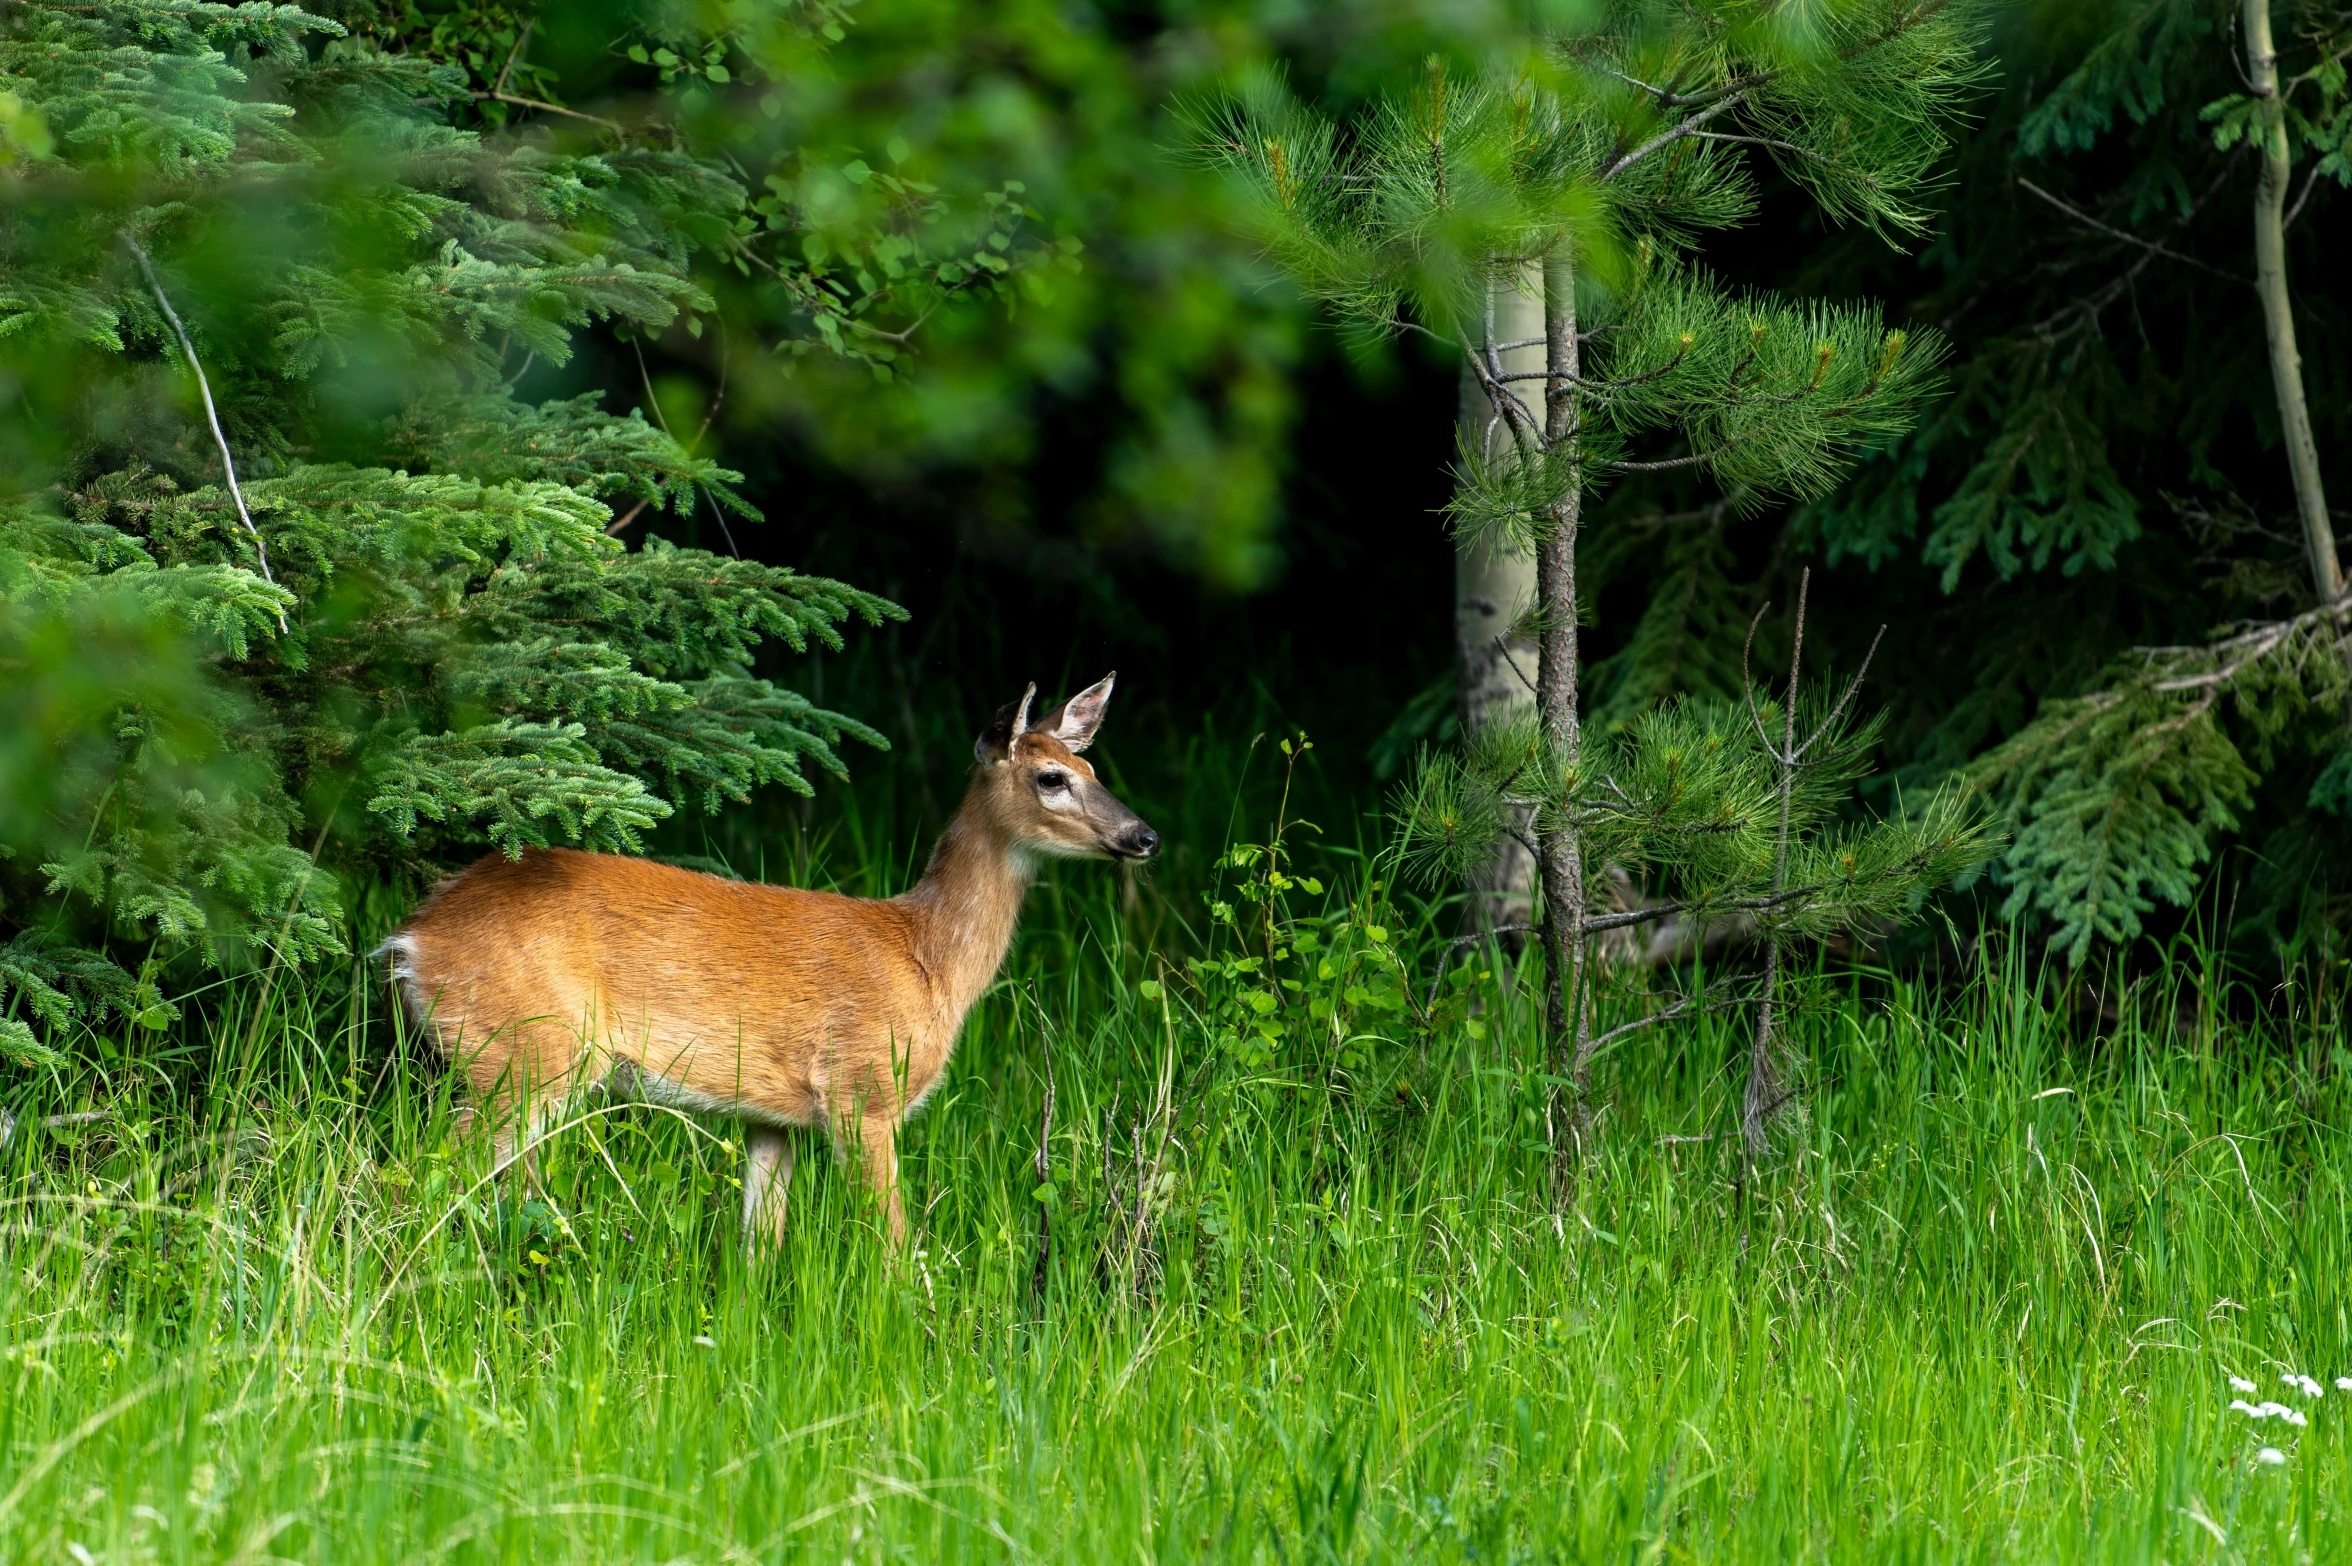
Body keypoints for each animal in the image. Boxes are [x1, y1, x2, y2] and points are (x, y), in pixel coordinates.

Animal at [376, 672, 1157, 1241]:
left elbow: (758, 1249)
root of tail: (413, 940)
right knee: (419, 1176)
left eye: (1091, 763)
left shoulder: (771, 1120)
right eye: (1051, 778)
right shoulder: (862, 1091)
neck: (927, 959)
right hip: (526, 1054)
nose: (1144, 836)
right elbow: (894, 1246)